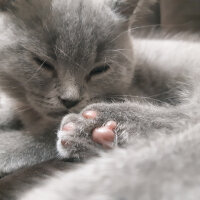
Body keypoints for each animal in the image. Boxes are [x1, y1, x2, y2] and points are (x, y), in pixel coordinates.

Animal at [0, 0, 200, 199]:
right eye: (43, 63)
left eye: (100, 69)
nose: (70, 100)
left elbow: (41, 133)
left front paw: (7, 146)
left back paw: (96, 127)